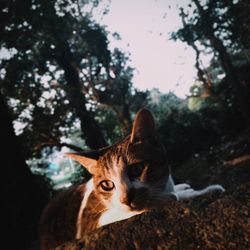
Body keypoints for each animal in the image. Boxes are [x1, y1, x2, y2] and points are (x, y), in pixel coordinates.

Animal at [39, 108, 225, 249]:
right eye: (107, 184)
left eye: (136, 169)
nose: (125, 199)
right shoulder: (92, 222)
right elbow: (162, 200)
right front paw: (174, 196)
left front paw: (201, 190)